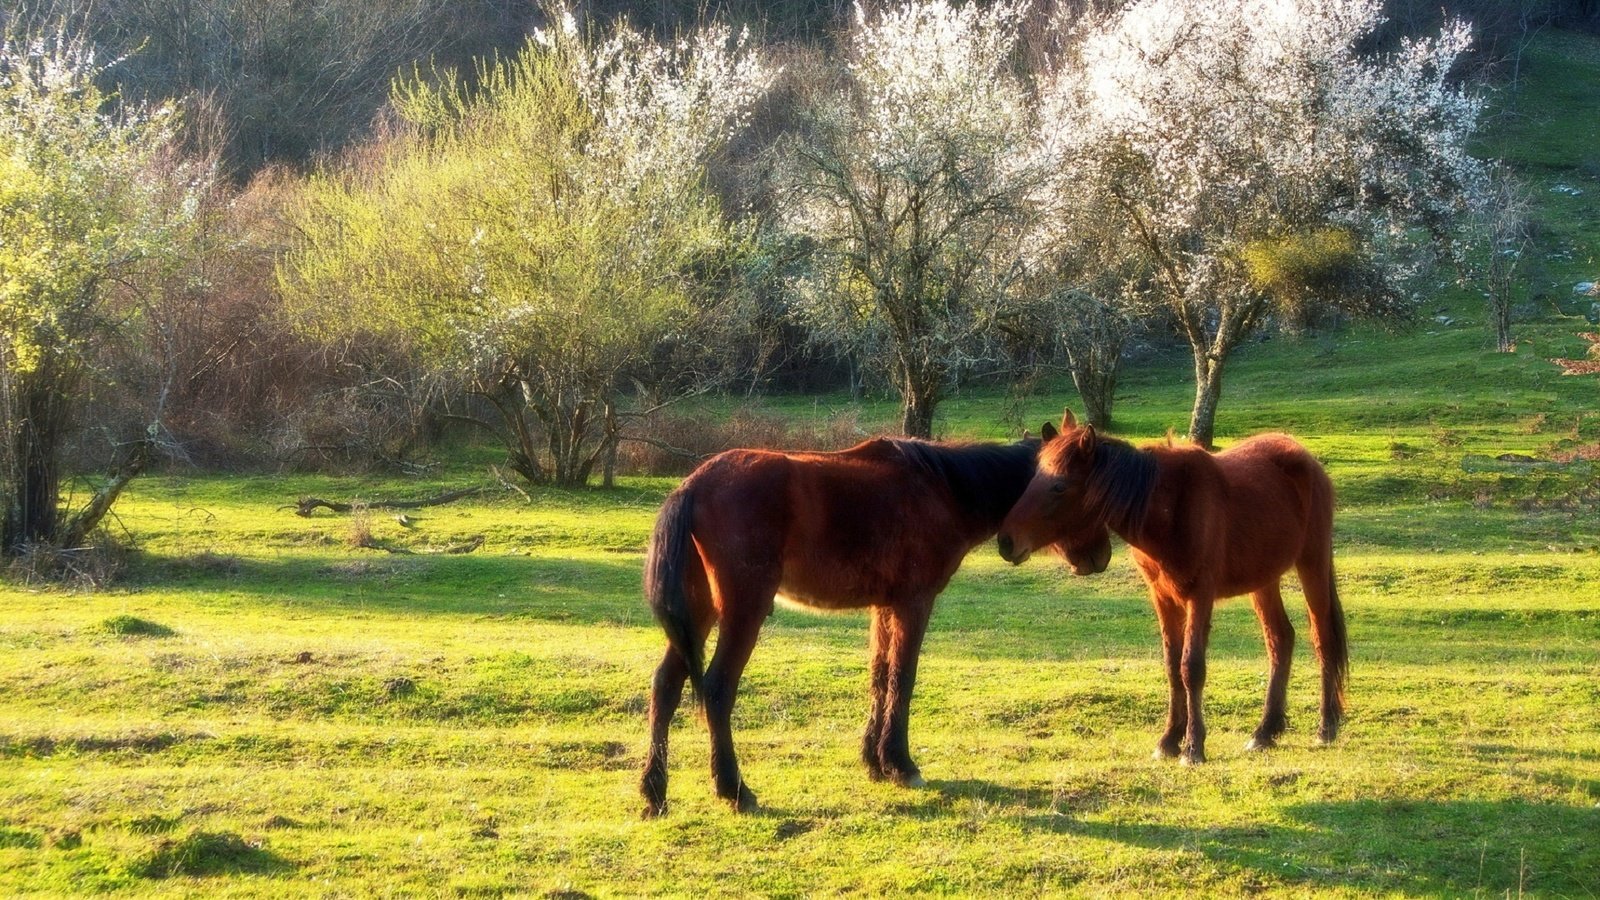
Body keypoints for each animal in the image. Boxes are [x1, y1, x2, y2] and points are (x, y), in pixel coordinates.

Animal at [643, 432, 1056, 813]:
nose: (1010, 546)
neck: (940, 488)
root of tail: (693, 486)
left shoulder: (884, 607)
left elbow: (880, 676)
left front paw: (874, 761)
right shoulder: (914, 603)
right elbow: (902, 678)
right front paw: (900, 764)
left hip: (698, 614)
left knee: (666, 685)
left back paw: (654, 791)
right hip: (743, 612)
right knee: (716, 689)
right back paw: (734, 789)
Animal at [998, 409, 1350, 759]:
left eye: (1058, 486)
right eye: (1033, 480)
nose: (1006, 542)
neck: (1170, 510)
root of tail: (1305, 458)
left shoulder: (1200, 595)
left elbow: (1191, 667)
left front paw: (1193, 747)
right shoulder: (1163, 597)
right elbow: (1171, 667)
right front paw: (1169, 740)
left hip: (1312, 563)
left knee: (1323, 637)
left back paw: (1326, 727)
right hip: (1263, 579)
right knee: (1280, 639)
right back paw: (1265, 731)